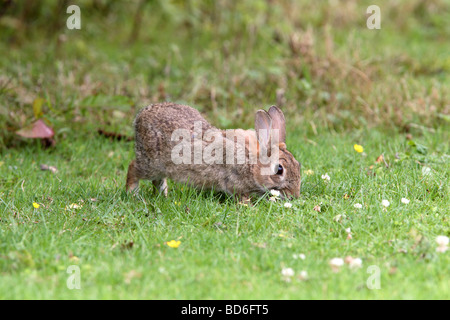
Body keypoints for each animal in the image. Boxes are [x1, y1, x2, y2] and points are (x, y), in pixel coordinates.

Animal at [125, 102, 302, 202]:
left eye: (298, 165)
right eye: (279, 170)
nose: (294, 195)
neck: (252, 163)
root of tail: (140, 116)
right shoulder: (234, 182)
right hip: (151, 163)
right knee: (133, 168)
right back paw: (132, 194)